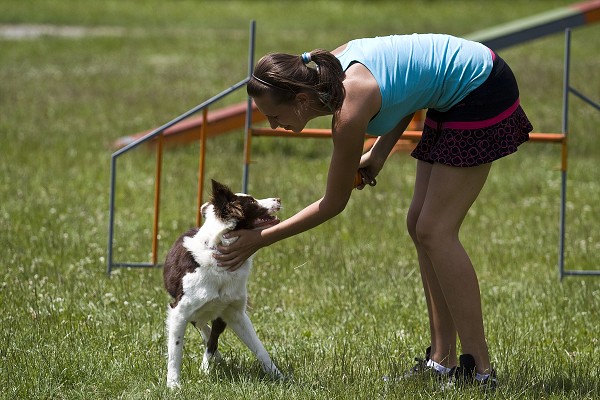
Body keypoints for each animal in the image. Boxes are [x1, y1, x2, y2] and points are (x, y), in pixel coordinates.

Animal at [162, 180, 284, 390]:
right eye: (252, 201)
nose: (278, 199)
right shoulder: (179, 310)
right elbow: (175, 351)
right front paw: (173, 385)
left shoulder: (235, 313)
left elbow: (260, 349)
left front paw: (280, 377)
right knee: (201, 326)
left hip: (219, 316)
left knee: (210, 337)